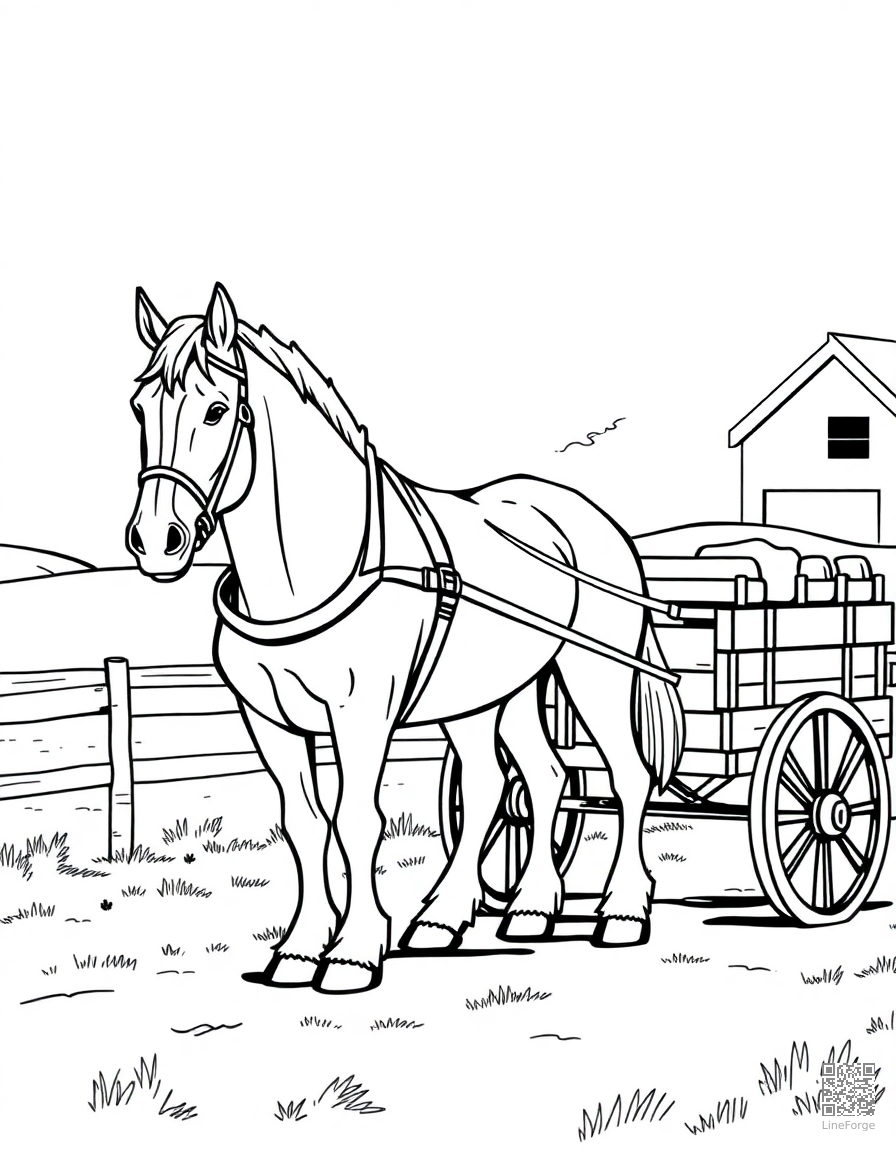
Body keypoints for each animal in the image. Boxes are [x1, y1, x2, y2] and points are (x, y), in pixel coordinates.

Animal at [125, 283, 684, 994]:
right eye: (140, 409)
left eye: (219, 410)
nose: (154, 540)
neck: (313, 573)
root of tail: (589, 517)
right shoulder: (268, 720)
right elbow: (303, 825)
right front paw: (299, 949)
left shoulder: (362, 713)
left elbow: (357, 821)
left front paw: (353, 953)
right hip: (492, 692)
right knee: (524, 780)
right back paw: (495, 913)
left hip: (595, 673)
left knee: (628, 776)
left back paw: (622, 912)